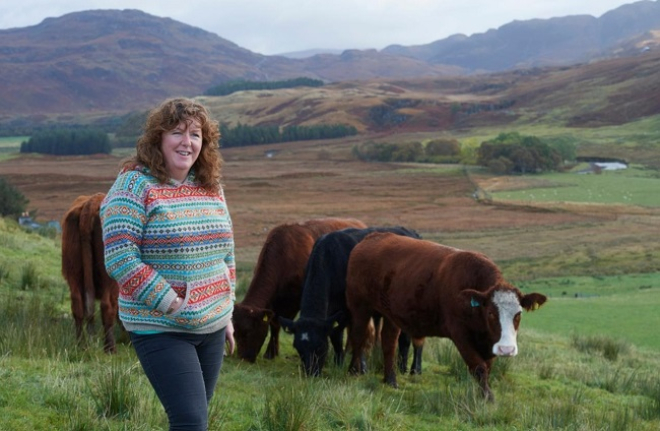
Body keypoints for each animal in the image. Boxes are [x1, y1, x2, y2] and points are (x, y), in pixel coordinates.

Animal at [61, 193, 120, 354]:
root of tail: (91, 202)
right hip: (108, 279)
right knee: (107, 307)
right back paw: (110, 348)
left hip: (73, 271)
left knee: (77, 306)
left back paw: (81, 345)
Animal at [233, 218, 368, 362]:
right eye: (235, 332)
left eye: (249, 332)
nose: (243, 358)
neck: (284, 253)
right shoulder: (273, 302)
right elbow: (273, 324)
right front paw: (272, 352)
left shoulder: (294, 300)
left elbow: (277, 323)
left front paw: (271, 352)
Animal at [278, 226, 422, 378]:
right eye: (297, 347)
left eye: (320, 346)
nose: (311, 372)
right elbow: (340, 336)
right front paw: (341, 363)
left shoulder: (349, 311)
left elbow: (351, 336)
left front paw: (355, 367)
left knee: (408, 340)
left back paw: (411, 368)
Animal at [346, 233, 548, 402]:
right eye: (491, 313)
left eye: (518, 314)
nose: (507, 349)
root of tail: (371, 238)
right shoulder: (460, 334)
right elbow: (478, 366)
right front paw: (488, 397)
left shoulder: (489, 342)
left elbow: (487, 368)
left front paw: (482, 393)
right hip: (359, 306)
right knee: (358, 336)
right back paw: (354, 370)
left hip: (390, 315)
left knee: (388, 342)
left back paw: (390, 380)